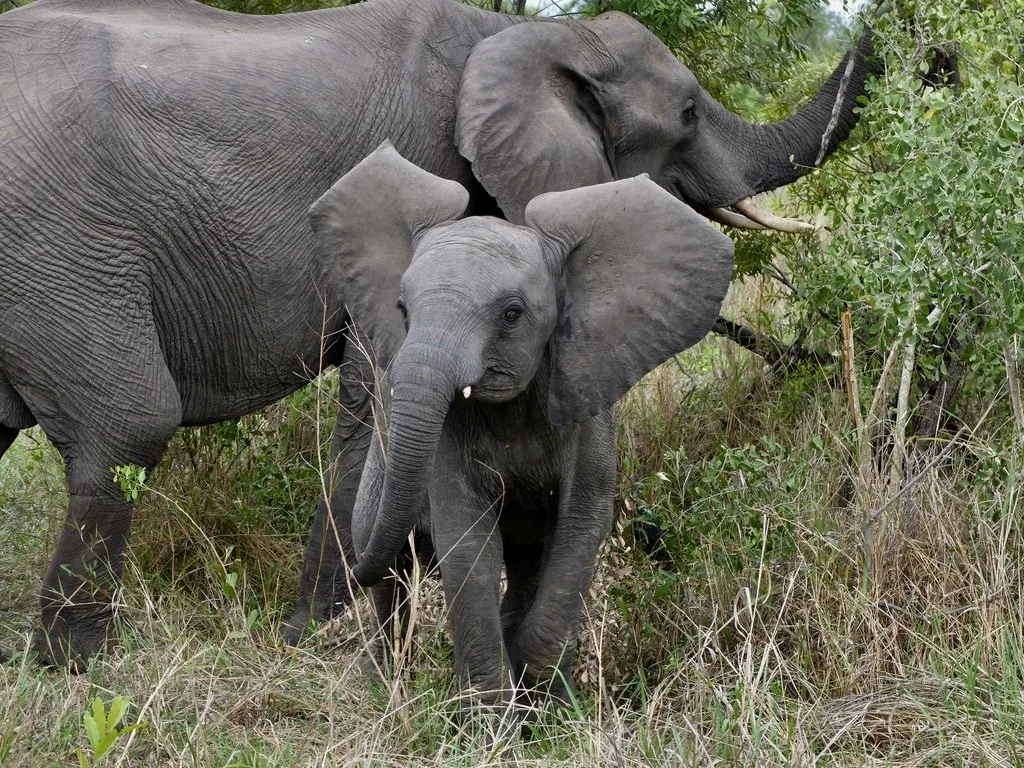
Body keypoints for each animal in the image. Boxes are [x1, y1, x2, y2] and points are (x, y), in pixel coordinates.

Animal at [308, 142, 735, 707]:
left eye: (511, 315)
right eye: (402, 308)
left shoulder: (586, 406)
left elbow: (580, 527)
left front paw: (552, 703)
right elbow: (468, 544)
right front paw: (490, 716)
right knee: (385, 565)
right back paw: (386, 684)